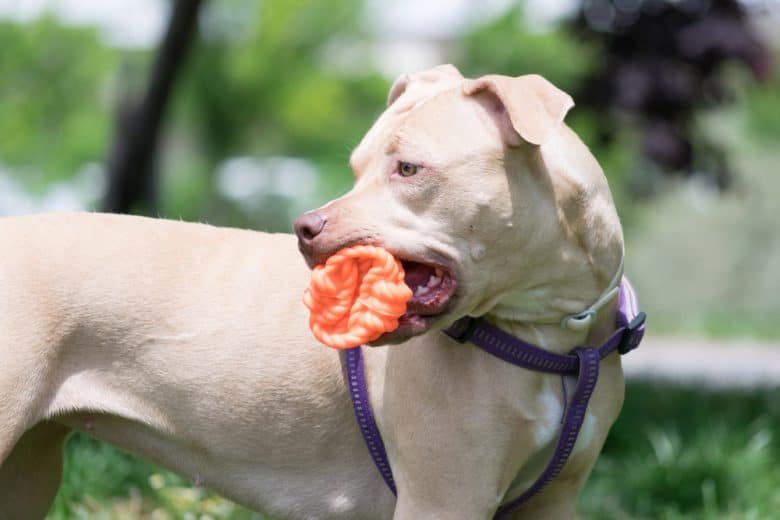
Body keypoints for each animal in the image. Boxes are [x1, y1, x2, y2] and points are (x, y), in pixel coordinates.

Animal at [0, 63, 624, 516]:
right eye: (356, 166)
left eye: (409, 169)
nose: (306, 227)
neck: (552, 329)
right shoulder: (445, 497)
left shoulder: (553, 501)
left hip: (26, 471)